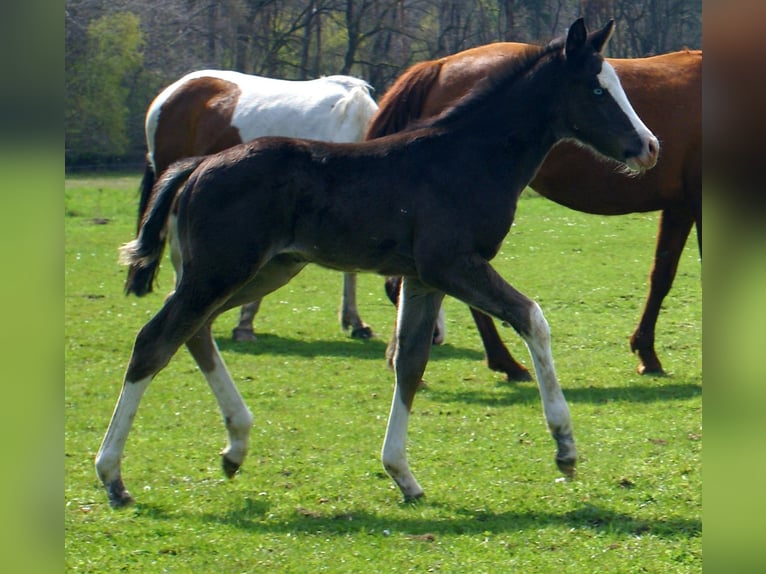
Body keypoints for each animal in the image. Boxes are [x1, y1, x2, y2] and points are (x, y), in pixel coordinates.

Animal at [369, 46, 701, 378]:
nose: (651, 146)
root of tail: (439, 65)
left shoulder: (680, 207)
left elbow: (661, 276)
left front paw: (646, 351)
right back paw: (502, 361)